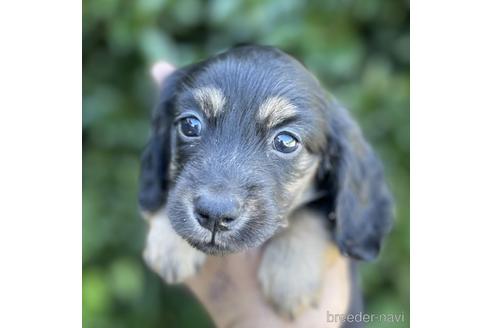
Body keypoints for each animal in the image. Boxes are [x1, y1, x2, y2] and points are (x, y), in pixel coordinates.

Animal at [138, 44, 392, 320]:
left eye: (286, 141)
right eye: (190, 124)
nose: (214, 215)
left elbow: (312, 210)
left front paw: (291, 277)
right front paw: (170, 245)